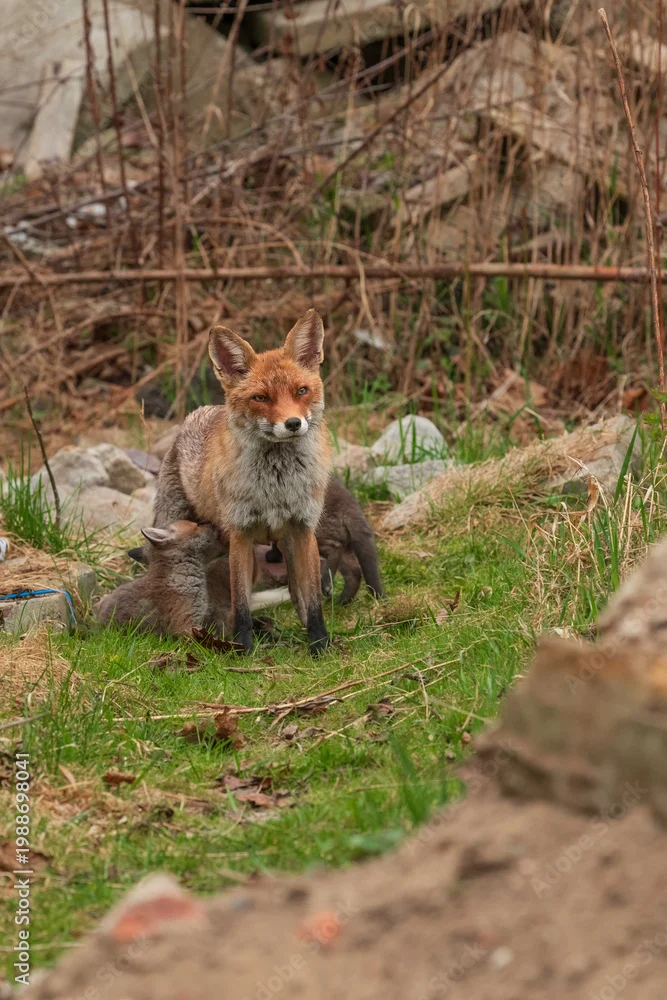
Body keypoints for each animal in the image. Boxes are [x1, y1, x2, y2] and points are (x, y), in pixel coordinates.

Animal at [152, 309, 332, 654]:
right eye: (261, 397)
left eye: (301, 391)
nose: (293, 423)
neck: (276, 485)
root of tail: (198, 413)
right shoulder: (241, 534)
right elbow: (241, 603)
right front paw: (243, 646)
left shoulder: (304, 529)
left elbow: (314, 599)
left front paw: (320, 642)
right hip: (176, 527)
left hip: (286, 545)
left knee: (297, 593)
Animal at [265, 476, 384, 604]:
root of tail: (348, 502)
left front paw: (272, 556)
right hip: (343, 541)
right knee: (354, 571)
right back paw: (341, 601)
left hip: (311, 533)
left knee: (335, 548)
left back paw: (327, 586)